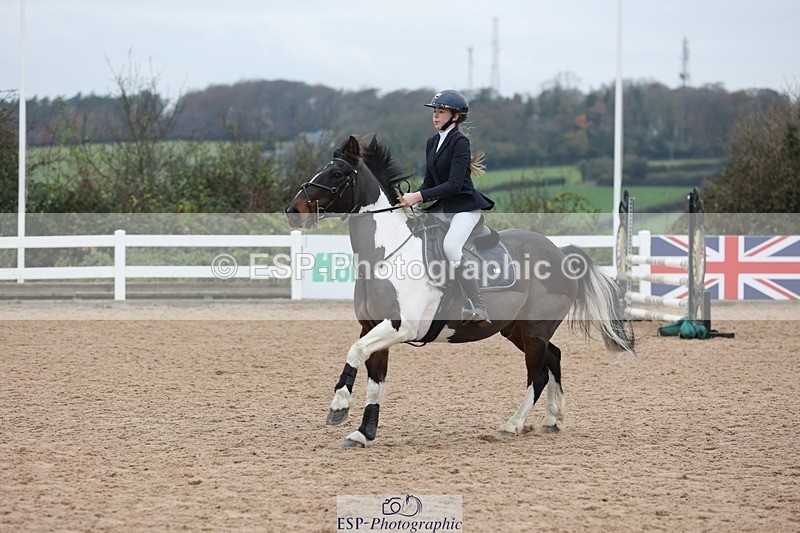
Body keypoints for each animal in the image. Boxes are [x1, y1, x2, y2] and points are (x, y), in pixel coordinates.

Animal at [285, 135, 635, 448]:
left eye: (337, 174)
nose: (293, 210)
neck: (385, 255)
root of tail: (562, 253)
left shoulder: (400, 326)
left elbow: (355, 352)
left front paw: (339, 408)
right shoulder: (371, 326)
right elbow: (375, 381)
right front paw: (363, 433)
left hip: (535, 329)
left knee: (537, 375)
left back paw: (513, 424)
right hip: (518, 329)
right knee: (554, 357)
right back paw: (552, 419)